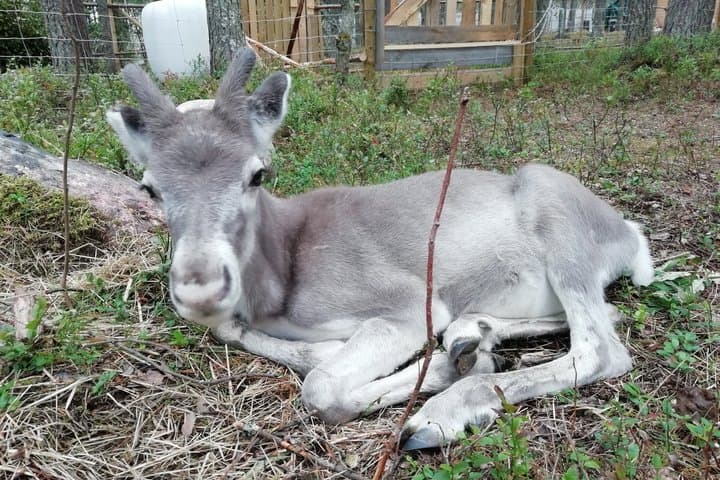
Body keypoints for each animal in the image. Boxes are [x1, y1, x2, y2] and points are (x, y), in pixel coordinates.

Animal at [106, 50, 654, 450]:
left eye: (257, 173)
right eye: (149, 187)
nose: (199, 289)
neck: (283, 272)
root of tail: (630, 236)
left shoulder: (407, 302)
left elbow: (320, 387)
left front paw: (437, 372)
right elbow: (231, 332)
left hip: (557, 217)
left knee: (602, 348)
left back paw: (439, 414)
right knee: (606, 315)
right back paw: (470, 338)